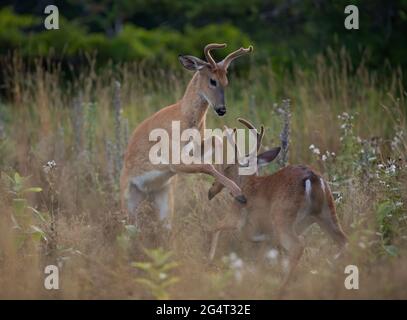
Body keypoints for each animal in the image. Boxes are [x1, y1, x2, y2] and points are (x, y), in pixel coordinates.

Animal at [120, 43, 252, 228]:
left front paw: (216, 189)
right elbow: (207, 166)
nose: (221, 109)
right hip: (128, 201)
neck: (182, 116)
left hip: (165, 199)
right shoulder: (173, 159)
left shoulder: (193, 148)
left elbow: (217, 140)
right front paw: (237, 192)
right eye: (212, 80)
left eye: (226, 81)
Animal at [209, 119, 350, 286]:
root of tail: (312, 178)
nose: (214, 185)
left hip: (282, 215)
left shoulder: (237, 214)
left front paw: (208, 260)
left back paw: (282, 285)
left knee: (297, 246)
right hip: (327, 212)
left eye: (228, 167)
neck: (248, 184)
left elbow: (216, 226)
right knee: (344, 241)